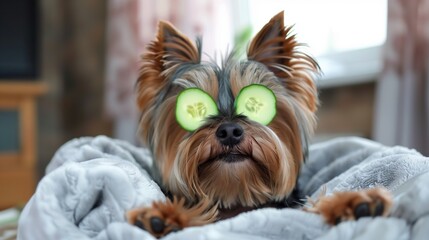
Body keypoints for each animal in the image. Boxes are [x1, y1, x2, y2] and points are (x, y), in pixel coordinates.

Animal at [124, 11, 392, 238]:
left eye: (255, 104)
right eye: (198, 108)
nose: (229, 131)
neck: (234, 198)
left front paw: (354, 203)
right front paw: (160, 216)